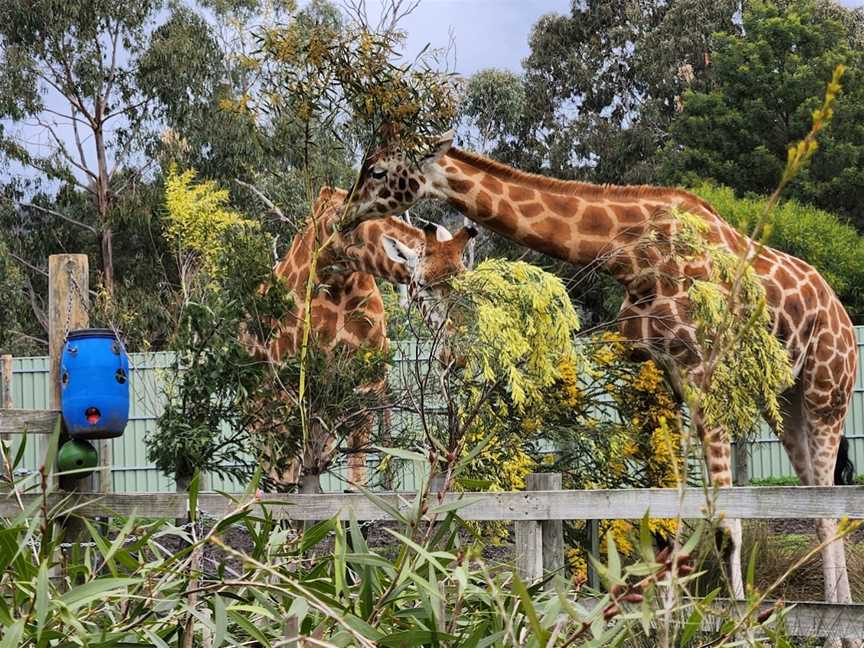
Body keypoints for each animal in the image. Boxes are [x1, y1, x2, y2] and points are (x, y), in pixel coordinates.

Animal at [250, 186, 480, 492]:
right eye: (424, 284)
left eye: (464, 282)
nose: (459, 355)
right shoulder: (287, 392)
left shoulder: (365, 392)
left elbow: (355, 483)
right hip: (263, 411)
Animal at [346, 133, 864, 612]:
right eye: (422, 285)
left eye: (376, 171)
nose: (350, 213)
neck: (631, 253)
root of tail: (839, 312)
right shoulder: (659, 372)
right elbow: (667, 521)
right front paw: (662, 619)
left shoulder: (703, 371)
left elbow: (726, 524)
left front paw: (732, 623)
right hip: (786, 401)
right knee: (818, 501)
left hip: (827, 391)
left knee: (829, 508)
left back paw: (835, 617)